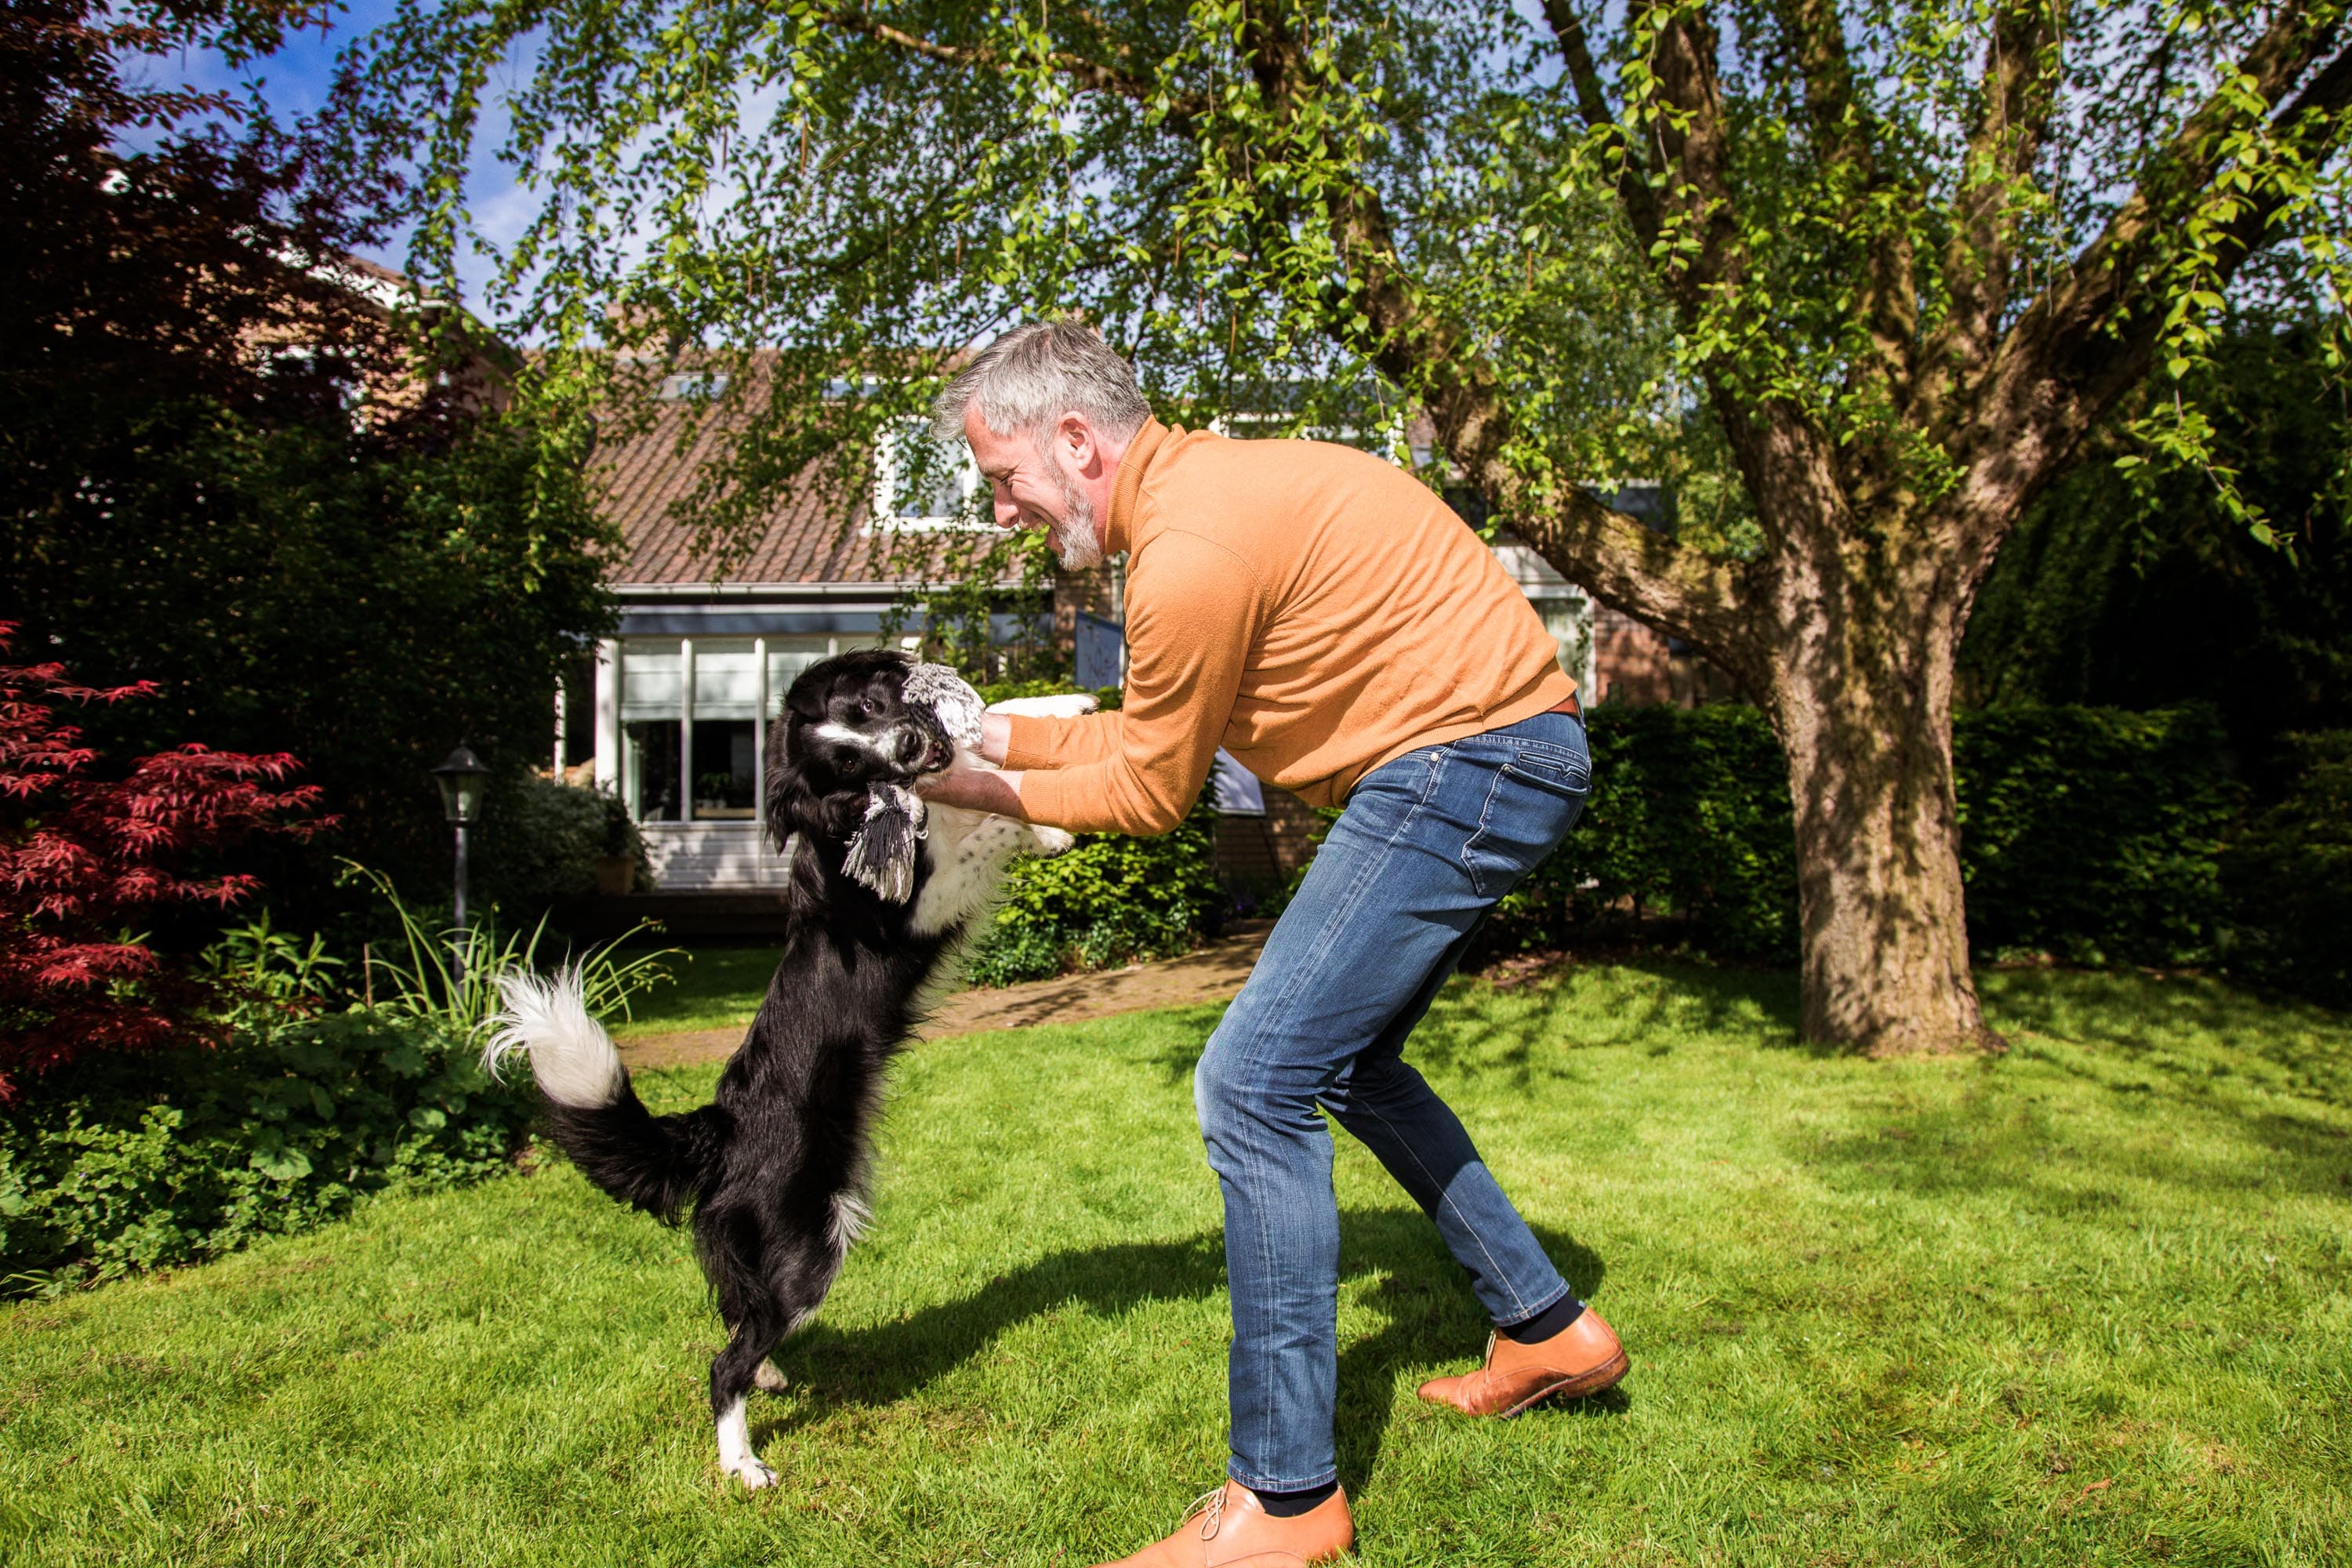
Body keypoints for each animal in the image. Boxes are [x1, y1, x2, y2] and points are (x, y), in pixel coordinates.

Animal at [494, 658, 1091, 1495]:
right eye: (845, 766)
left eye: (870, 708)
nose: (912, 746)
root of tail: (718, 1128)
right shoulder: (917, 905)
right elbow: (988, 828)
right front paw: (1046, 824)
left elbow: (992, 745)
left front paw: (1059, 701)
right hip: (810, 1246)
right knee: (724, 1364)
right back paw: (743, 1464)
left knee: (739, 1321)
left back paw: (770, 1378)